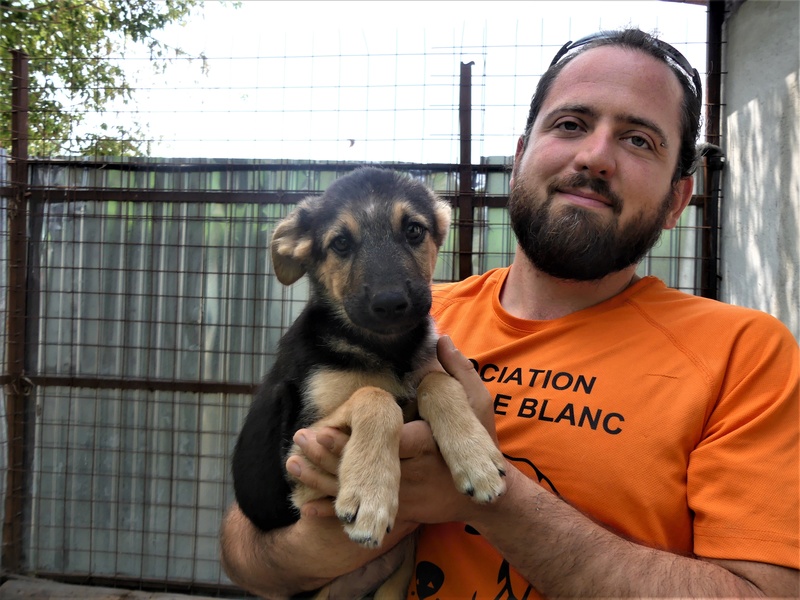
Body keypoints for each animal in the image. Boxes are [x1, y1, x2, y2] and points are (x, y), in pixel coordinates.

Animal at [231, 166, 506, 596]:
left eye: (414, 230)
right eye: (341, 243)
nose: (390, 303)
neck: (387, 351)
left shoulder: (427, 370)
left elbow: (436, 381)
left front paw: (477, 457)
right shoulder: (299, 458)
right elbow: (375, 395)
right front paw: (370, 493)